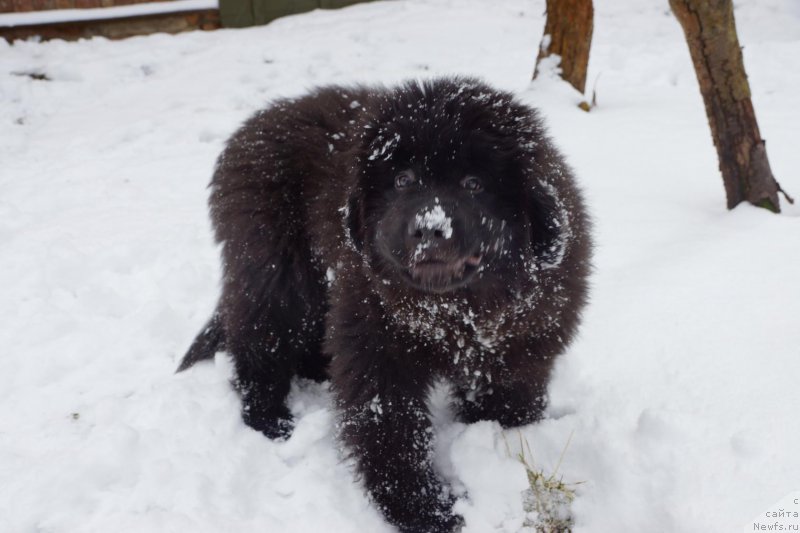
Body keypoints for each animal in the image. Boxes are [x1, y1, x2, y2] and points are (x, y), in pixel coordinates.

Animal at [183, 77, 592, 528]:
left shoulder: (519, 345)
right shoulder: (376, 346)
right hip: (277, 272)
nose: (429, 228)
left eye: (473, 183)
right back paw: (270, 420)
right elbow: (391, 431)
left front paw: (503, 450)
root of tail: (261, 120)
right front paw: (427, 511)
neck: (452, 313)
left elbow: (506, 404)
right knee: (260, 340)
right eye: (402, 179)